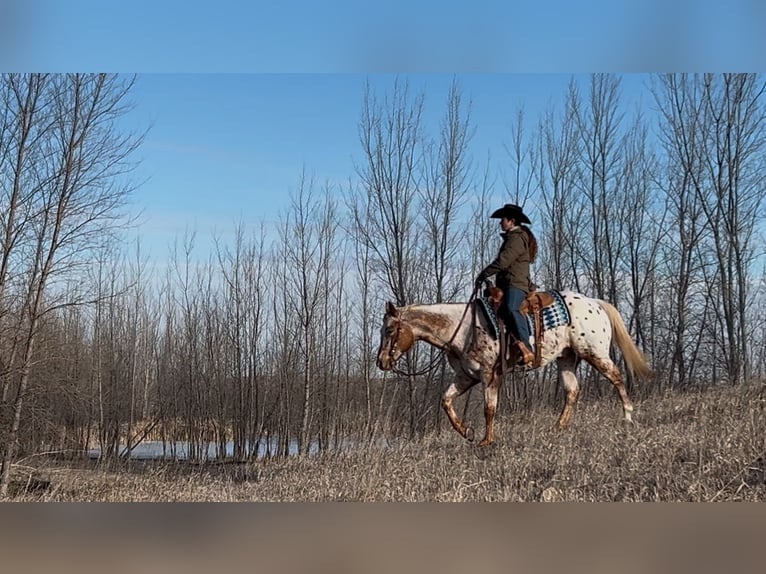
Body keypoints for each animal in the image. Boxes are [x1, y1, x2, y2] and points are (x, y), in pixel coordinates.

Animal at [378, 290, 656, 448]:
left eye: (389, 330)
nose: (381, 362)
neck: (463, 328)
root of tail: (595, 303)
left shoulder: (490, 375)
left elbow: (489, 409)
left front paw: (486, 441)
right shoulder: (466, 377)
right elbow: (446, 401)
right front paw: (467, 432)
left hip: (594, 353)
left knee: (616, 377)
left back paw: (627, 417)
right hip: (566, 358)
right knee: (572, 391)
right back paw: (558, 428)